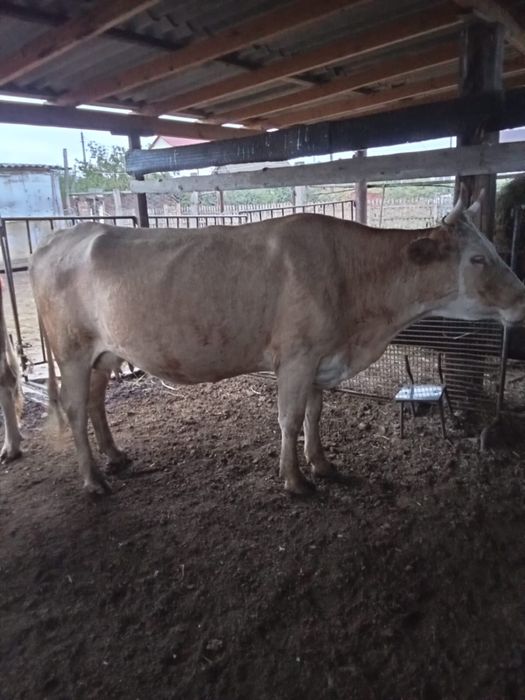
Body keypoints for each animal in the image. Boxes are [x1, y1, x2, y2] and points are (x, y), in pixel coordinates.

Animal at [29, 189, 525, 496]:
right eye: (477, 258)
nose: (521, 296)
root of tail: (62, 234)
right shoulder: (297, 356)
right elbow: (288, 418)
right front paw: (296, 480)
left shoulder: (322, 359)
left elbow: (314, 413)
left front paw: (322, 463)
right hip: (71, 351)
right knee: (75, 410)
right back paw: (94, 481)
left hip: (103, 352)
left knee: (95, 402)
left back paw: (115, 457)